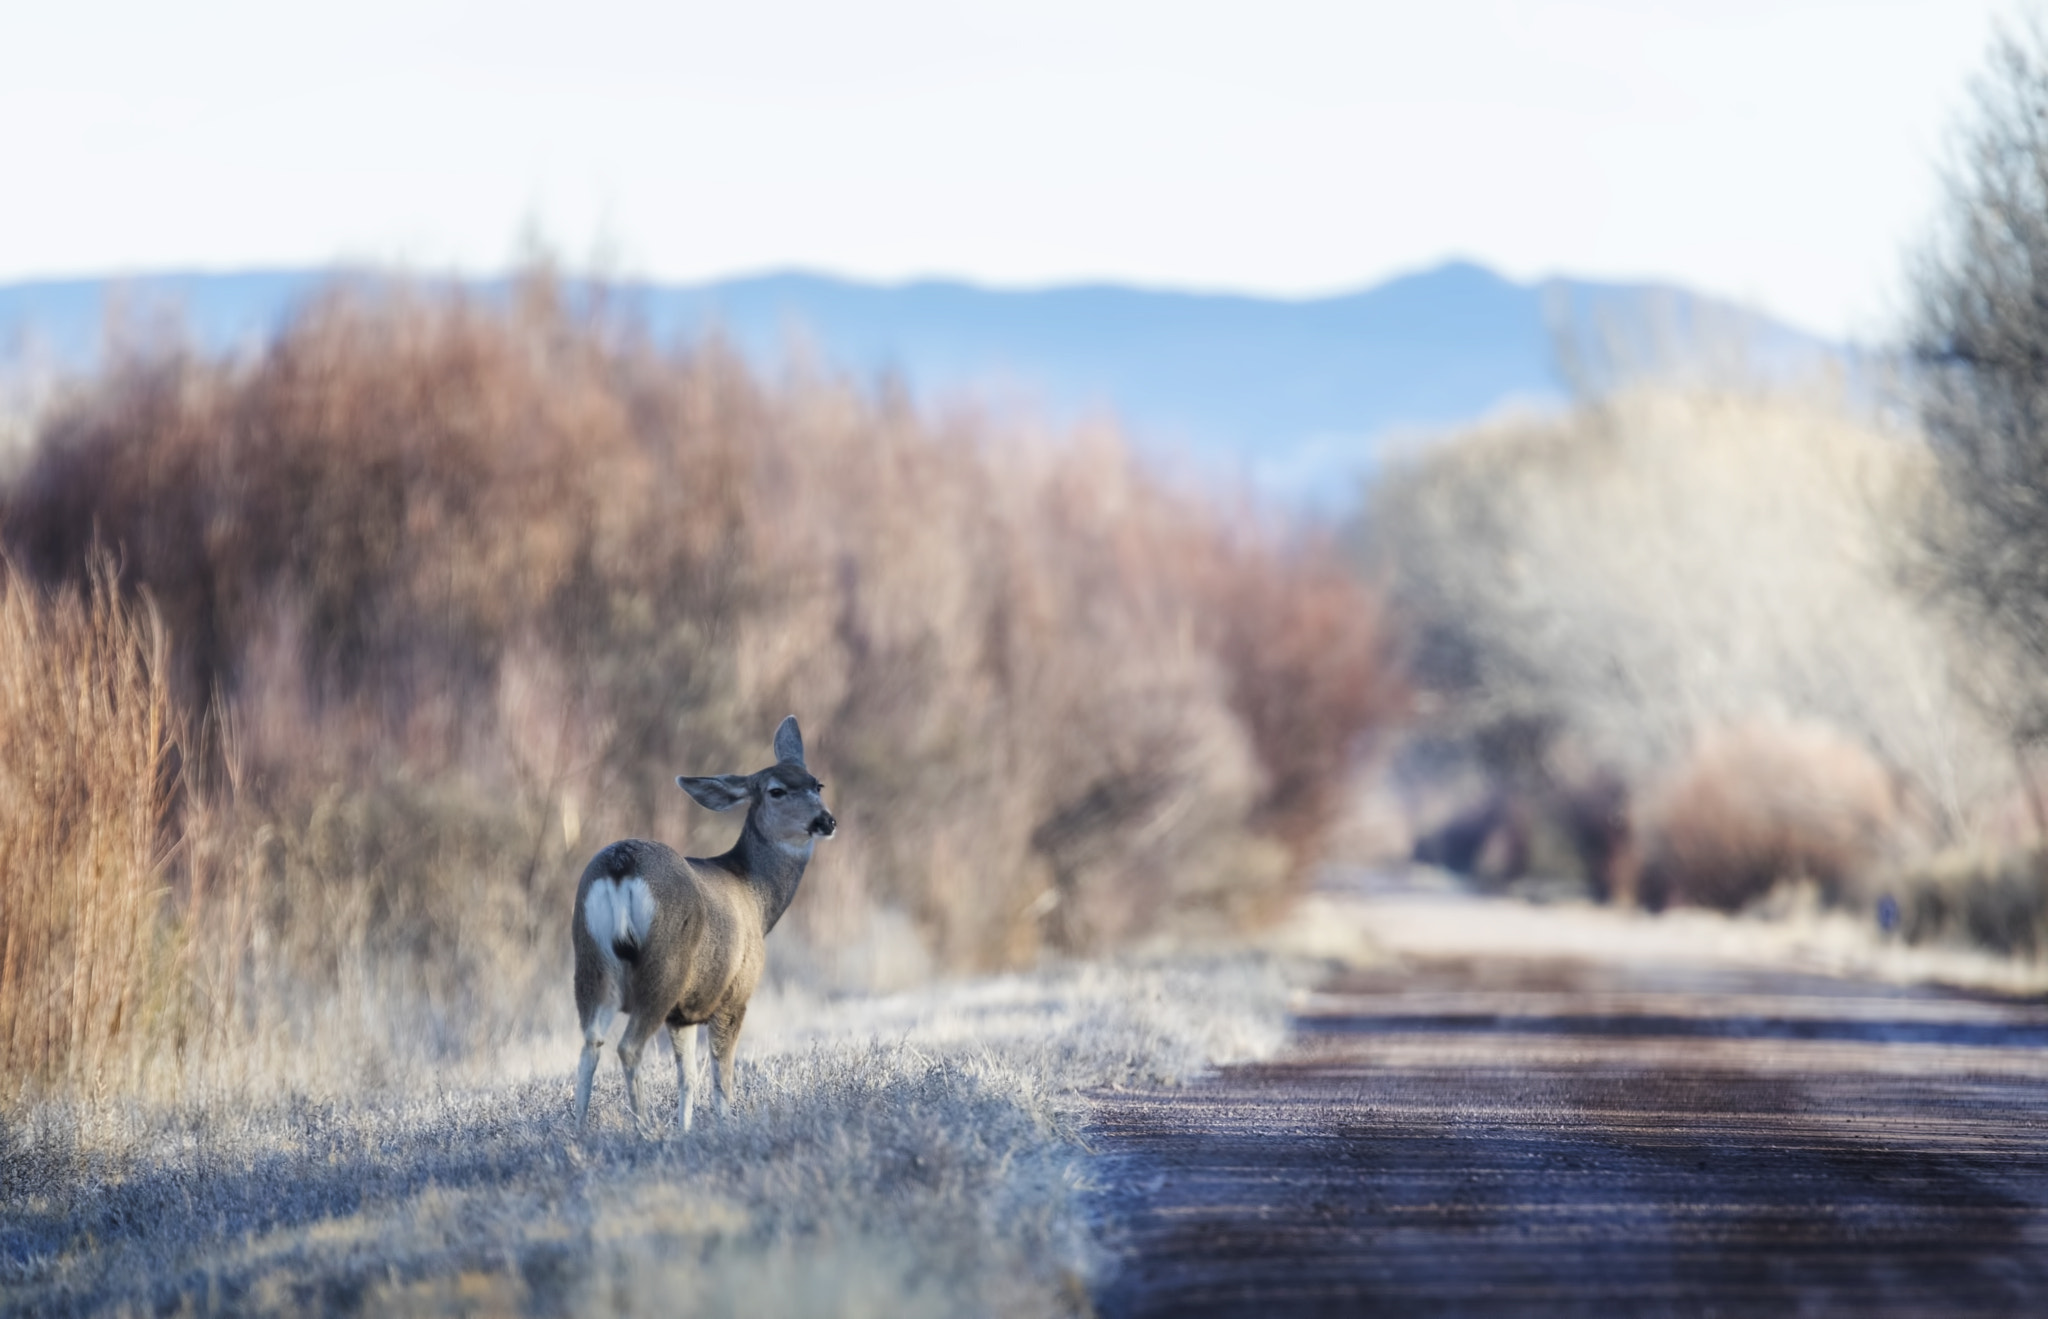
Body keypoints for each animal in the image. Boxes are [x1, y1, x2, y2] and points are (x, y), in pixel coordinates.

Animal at [571, 715, 836, 1134]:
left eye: (816, 784)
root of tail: (621, 865)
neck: (756, 895)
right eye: (776, 790)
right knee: (628, 1046)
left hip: (589, 958)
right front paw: (723, 1127)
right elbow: (721, 1077)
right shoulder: (734, 994)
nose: (825, 820)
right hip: (663, 967)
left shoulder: (685, 1012)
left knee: (590, 1044)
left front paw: (685, 1130)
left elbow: (688, 1077)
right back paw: (645, 1130)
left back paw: (579, 1131)